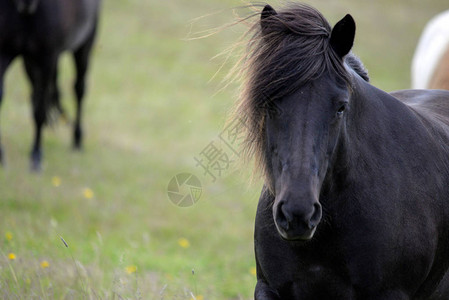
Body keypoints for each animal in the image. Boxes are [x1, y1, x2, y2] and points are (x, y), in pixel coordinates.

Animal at [0, 0, 100, 170]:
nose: (27, 3)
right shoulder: (3, 53)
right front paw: (1, 155)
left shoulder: (47, 58)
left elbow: (40, 110)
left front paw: (36, 155)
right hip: (30, 63)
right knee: (35, 94)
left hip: (84, 46)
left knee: (79, 90)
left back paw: (77, 139)